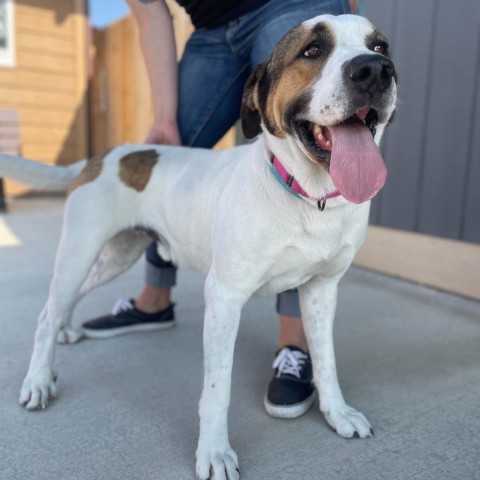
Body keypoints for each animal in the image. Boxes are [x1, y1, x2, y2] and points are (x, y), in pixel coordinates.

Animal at [0, 14, 398, 480]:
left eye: (381, 46)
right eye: (312, 50)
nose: (375, 70)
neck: (307, 198)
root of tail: (100, 158)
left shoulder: (321, 291)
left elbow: (326, 362)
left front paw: (337, 414)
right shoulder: (224, 298)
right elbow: (216, 388)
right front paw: (214, 452)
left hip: (116, 256)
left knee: (66, 302)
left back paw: (63, 335)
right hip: (79, 251)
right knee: (47, 313)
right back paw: (38, 380)